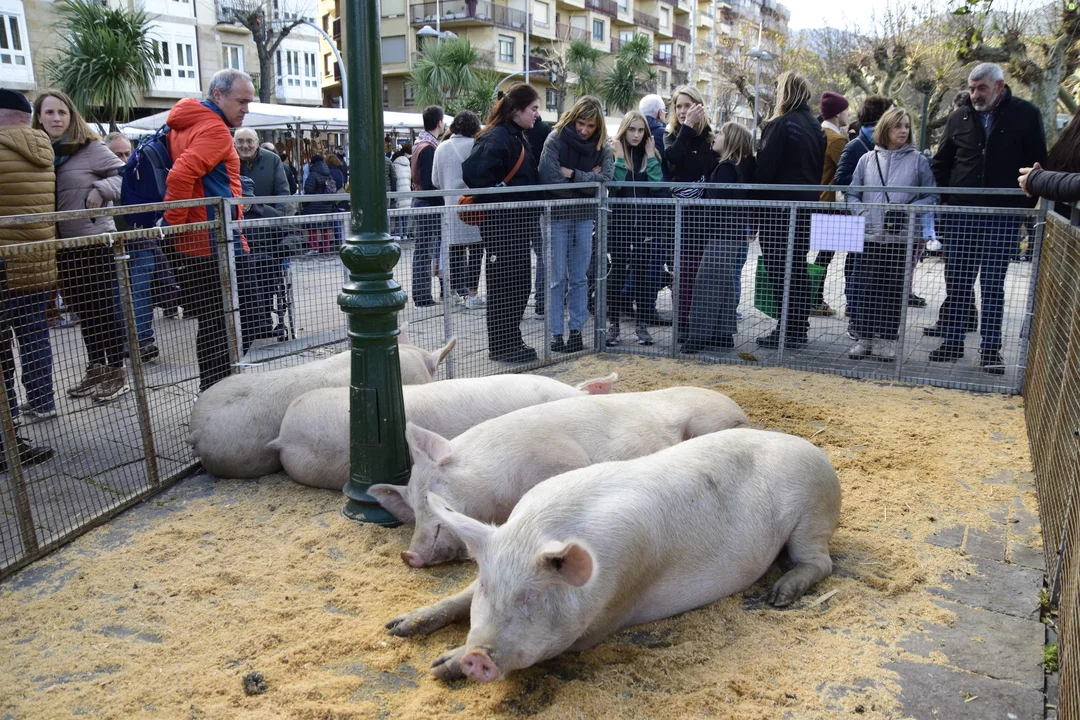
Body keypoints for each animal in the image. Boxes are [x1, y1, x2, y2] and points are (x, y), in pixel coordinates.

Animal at [370, 386, 749, 568]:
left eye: (429, 494)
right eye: (411, 509)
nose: (407, 555)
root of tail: (737, 408)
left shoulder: (559, 458)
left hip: (708, 422)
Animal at [385, 428, 842, 682]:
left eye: (531, 597)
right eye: (485, 586)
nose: (477, 657)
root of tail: (814, 449)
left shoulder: (609, 612)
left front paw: (442, 665)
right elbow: (458, 598)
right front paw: (398, 628)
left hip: (811, 515)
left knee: (821, 561)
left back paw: (778, 596)